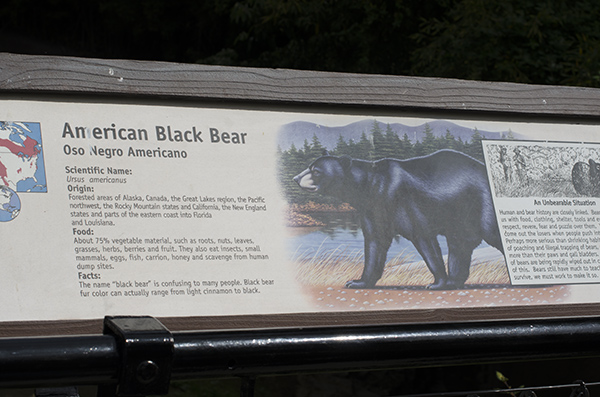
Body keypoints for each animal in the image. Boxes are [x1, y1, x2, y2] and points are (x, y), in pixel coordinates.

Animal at [292, 148, 504, 288]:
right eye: (309, 166)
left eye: (316, 171)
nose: (295, 178)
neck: (370, 185)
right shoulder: (373, 208)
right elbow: (375, 242)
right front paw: (358, 281)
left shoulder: (402, 201)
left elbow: (423, 237)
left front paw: (437, 282)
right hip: (461, 215)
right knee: (460, 244)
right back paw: (455, 281)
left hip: (483, 205)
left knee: (491, 233)